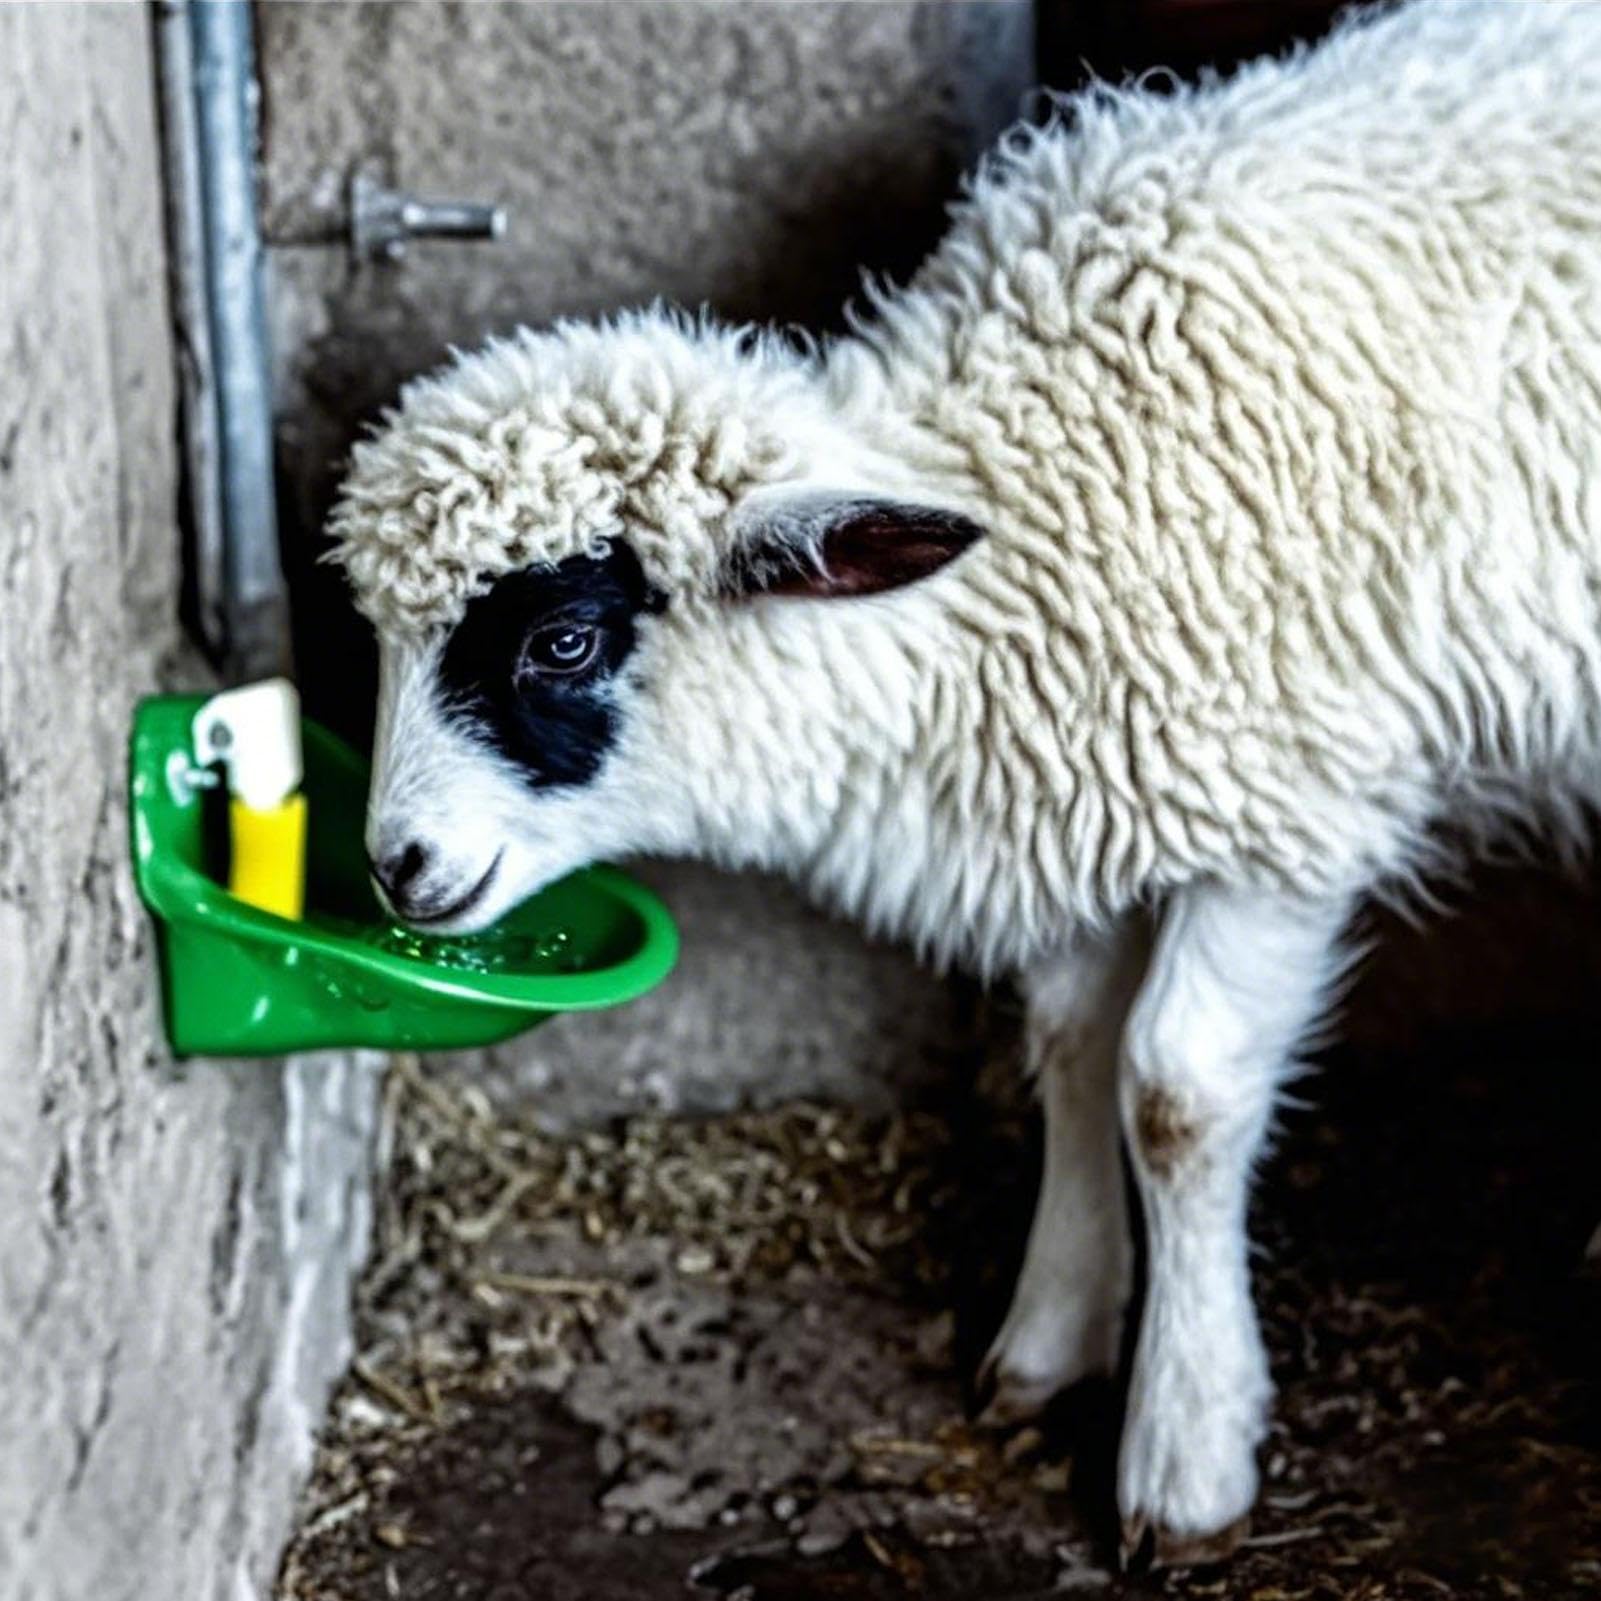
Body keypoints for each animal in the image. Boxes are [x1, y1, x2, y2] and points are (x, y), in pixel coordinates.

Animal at [330, 0, 1601, 1567]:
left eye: (560, 640)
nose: (396, 865)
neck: (1039, 499)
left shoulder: (1283, 810)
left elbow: (1175, 1092)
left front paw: (1183, 1443)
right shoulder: (1099, 781)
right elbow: (1066, 1039)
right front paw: (1052, 1336)